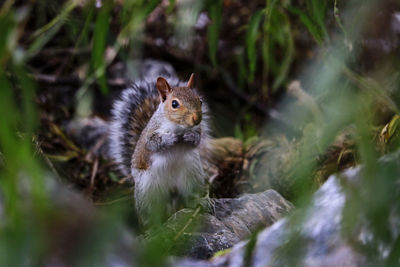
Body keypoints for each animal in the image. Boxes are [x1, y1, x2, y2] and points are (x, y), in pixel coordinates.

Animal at [109, 73, 209, 224]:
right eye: (174, 104)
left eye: (200, 100)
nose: (196, 119)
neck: (178, 127)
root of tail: (171, 188)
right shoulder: (149, 135)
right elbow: (153, 143)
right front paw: (170, 138)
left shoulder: (198, 130)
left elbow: (196, 141)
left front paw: (190, 136)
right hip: (147, 190)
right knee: (149, 212)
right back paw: (153, 224)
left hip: (192, 176)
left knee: (189, 197)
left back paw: (198, 201)